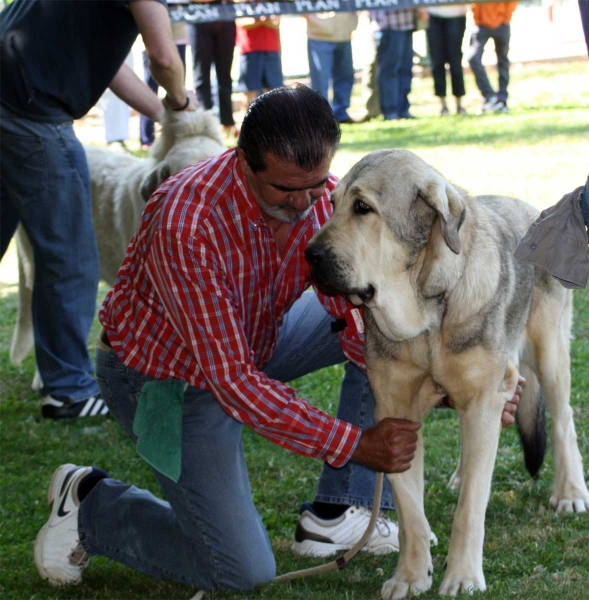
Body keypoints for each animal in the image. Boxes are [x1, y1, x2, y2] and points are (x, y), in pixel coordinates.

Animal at [306, 149, 584, 596]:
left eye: (363, 208)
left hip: (550, 351)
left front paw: (463, 576)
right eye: (331, 205)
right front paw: (410, 576)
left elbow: (470, 506)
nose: (308, 255)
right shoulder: (395, 416)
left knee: (563, 419)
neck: (426, 314)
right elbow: (410, 511)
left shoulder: (485, 399)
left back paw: (570, 491)